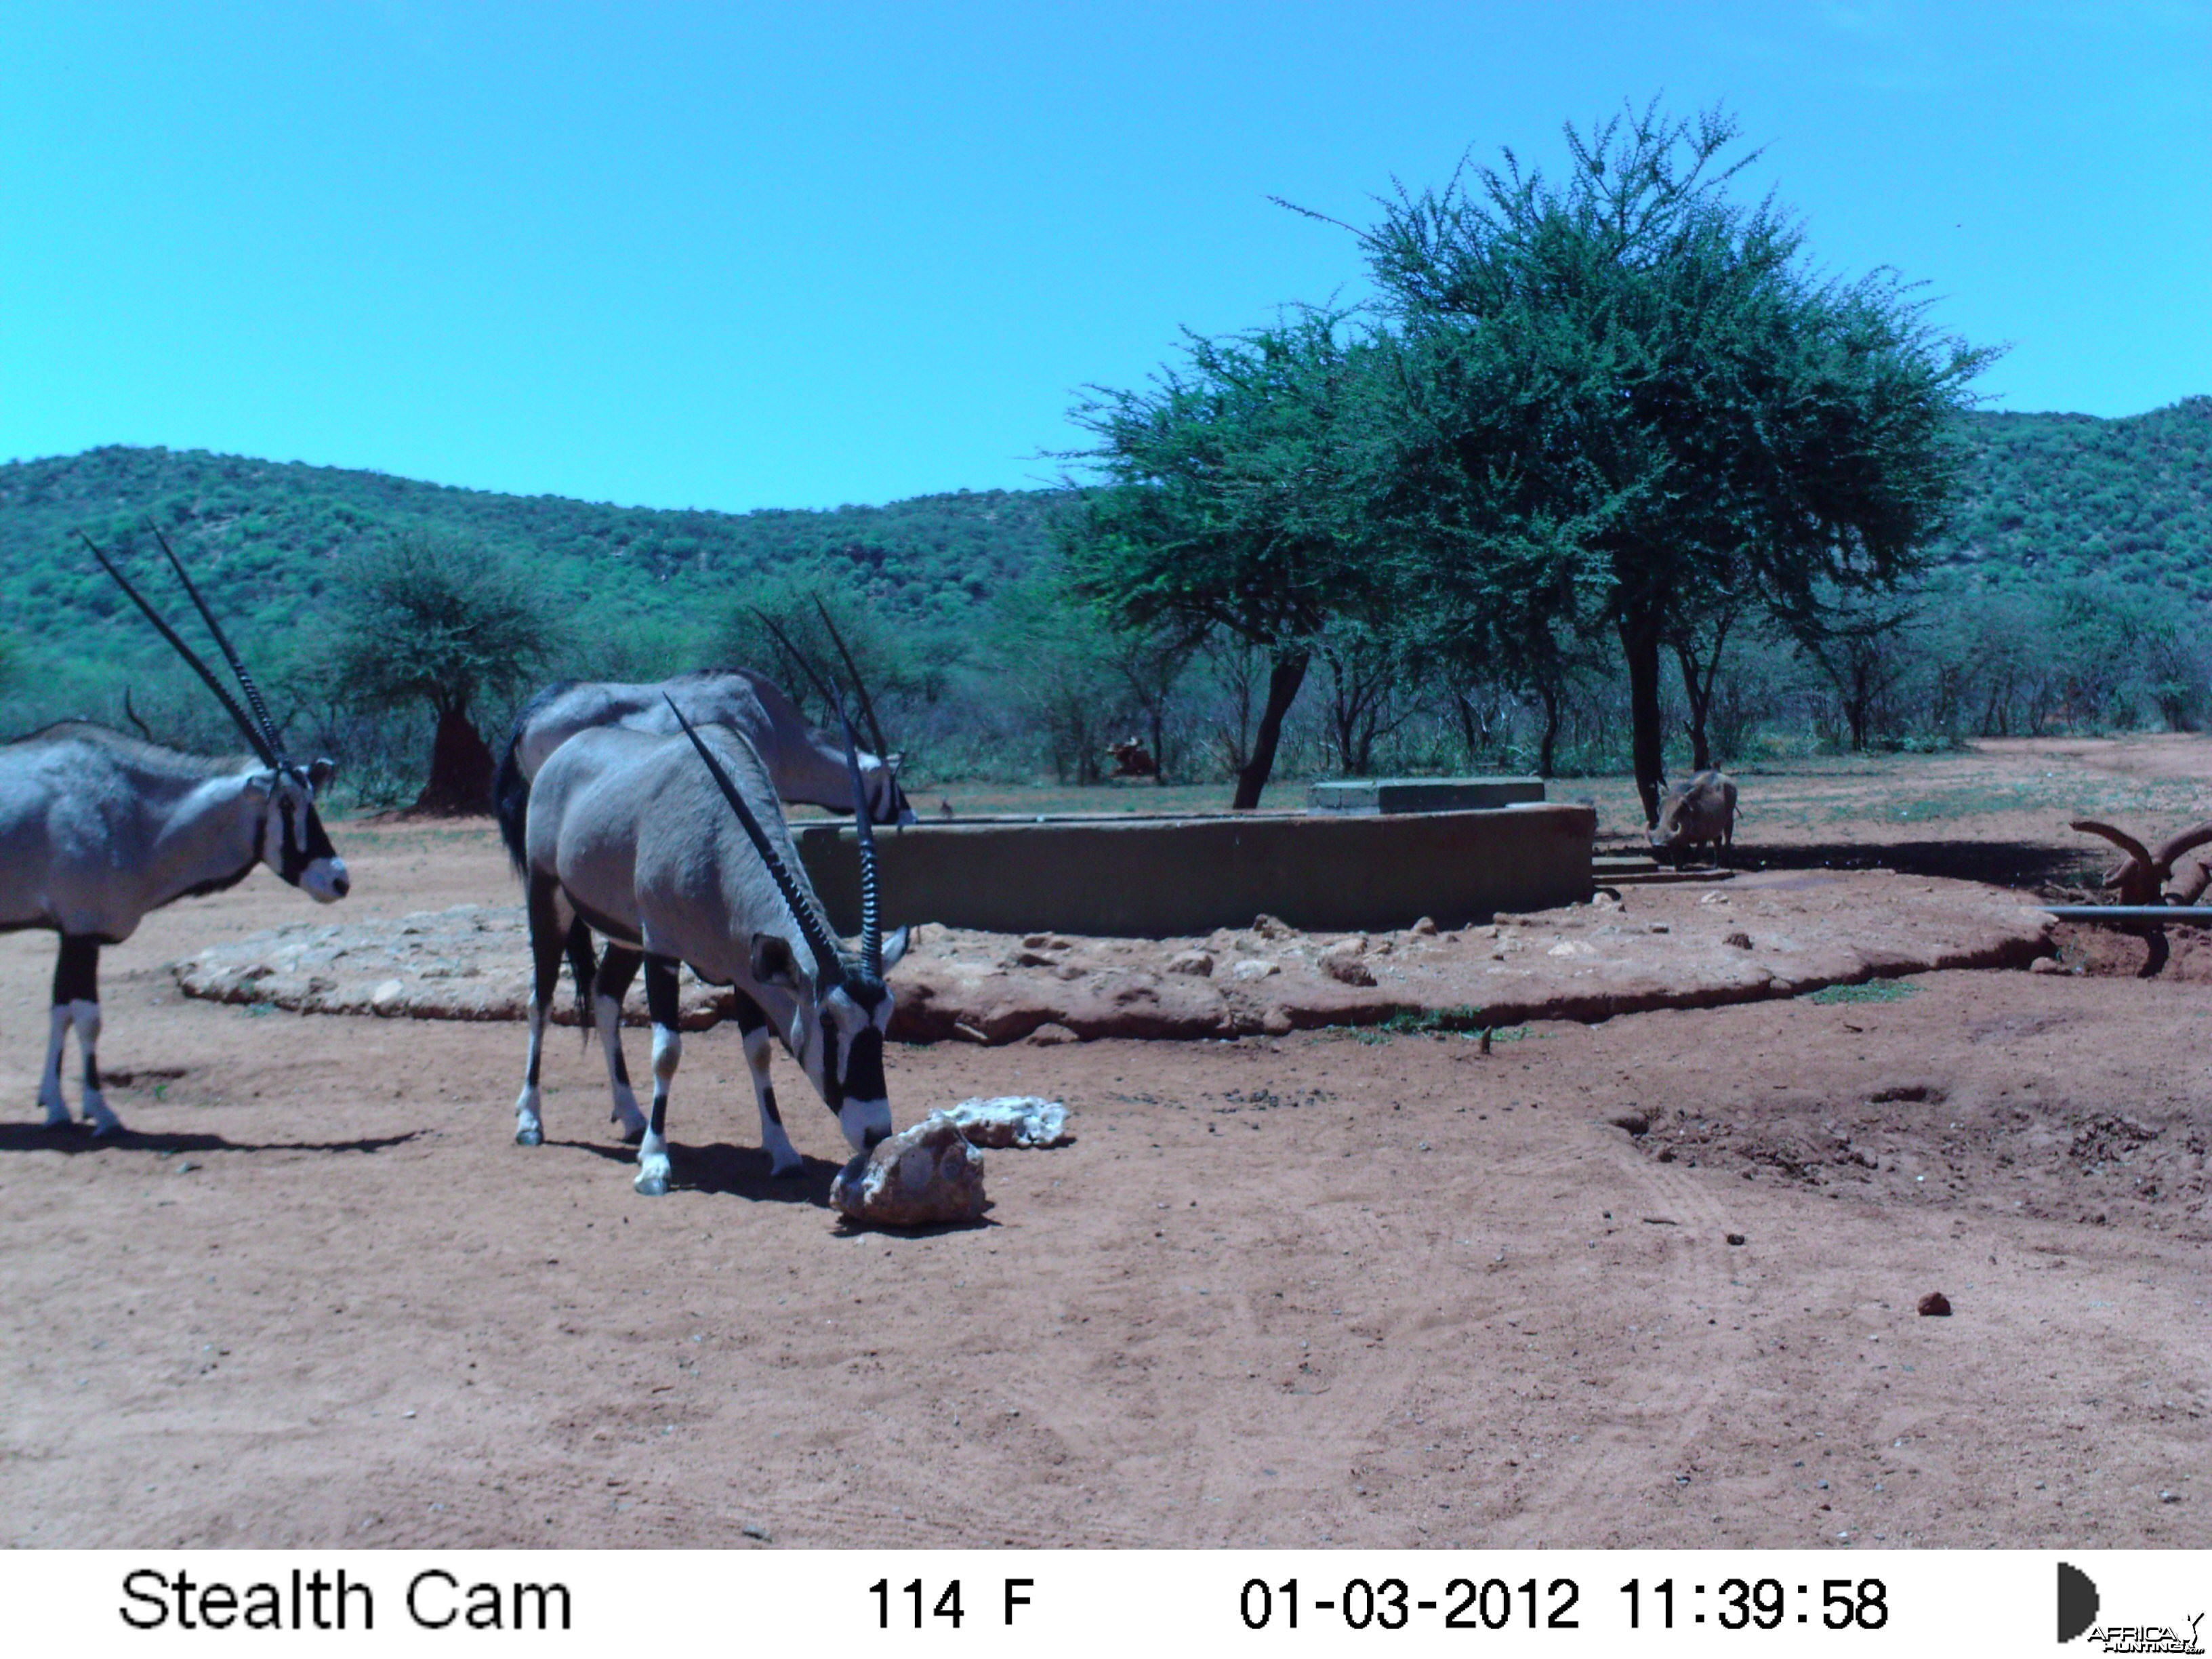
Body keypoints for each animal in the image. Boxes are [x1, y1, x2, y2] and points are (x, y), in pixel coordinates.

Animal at [4, 539, 345, 1141]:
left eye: (313, 797)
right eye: (286, 804)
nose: (338, 878)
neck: (132, 806)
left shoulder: (72, 933)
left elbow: (59, 1011)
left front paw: (55, 1106)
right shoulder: (81, 931)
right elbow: (86, 1016)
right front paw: (99, 1113)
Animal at [510, 699, 907, 1194]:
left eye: (886, 1019)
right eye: (830, 1022)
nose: (875, 1132)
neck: (717, 843)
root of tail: (564, 752)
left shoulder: (746, 970)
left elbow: (758, 1053)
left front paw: (782, 1151)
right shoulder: (662, 952)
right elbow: (666, 1053)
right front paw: (655, 1165)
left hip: (627, 935)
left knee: (604, 998)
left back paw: (631, 1116)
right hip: (549, 899)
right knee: (541, 1001)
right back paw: (530, 1121)